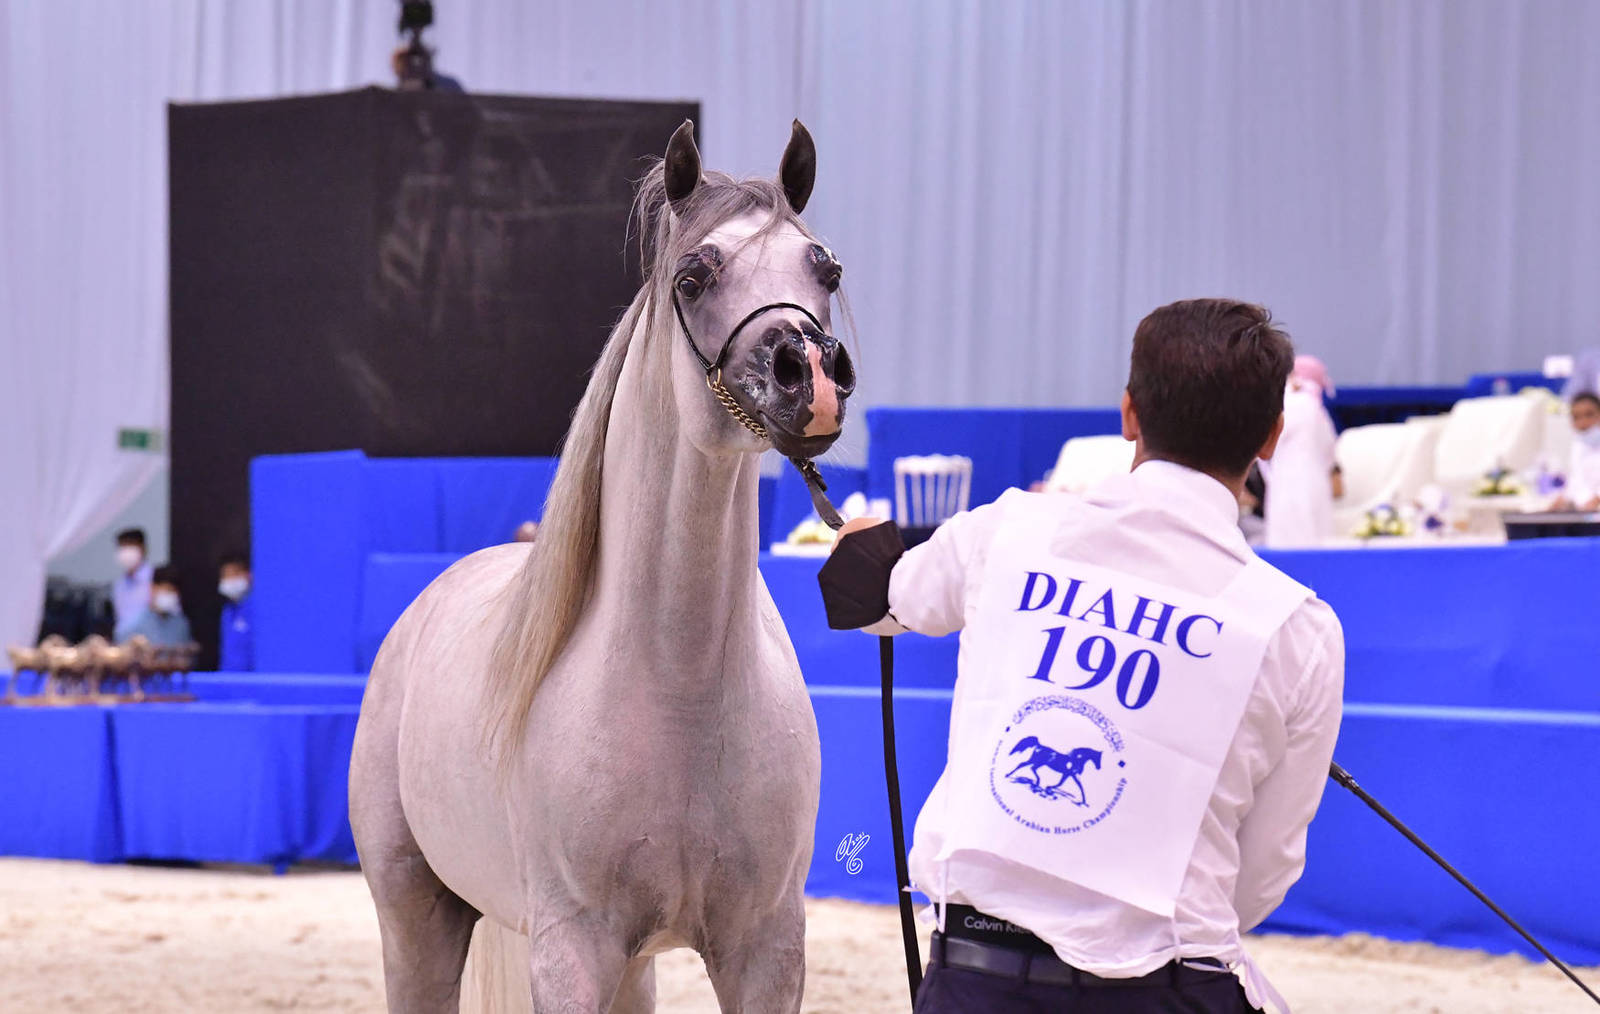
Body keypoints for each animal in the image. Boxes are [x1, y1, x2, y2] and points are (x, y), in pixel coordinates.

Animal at [348, 120, 854, 1013]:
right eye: (693, 275)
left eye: (824, 269)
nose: (814, 377)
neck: (682, 684)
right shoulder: (573, 948)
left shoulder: (766, 948)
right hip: (417, 916)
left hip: (635, 965)